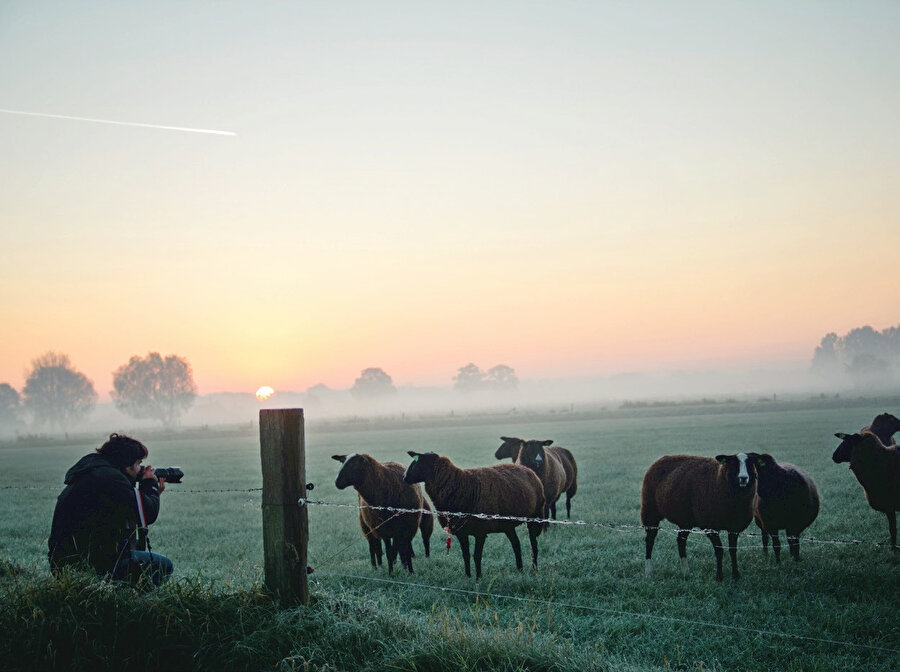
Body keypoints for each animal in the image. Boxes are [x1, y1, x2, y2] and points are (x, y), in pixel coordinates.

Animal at [404, 452, 544, 576]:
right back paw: (520, 569)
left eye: (420, 462)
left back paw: (535, 569)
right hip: (507, 525)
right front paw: (468, 576)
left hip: (534, 516)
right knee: (516, 544)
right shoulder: (461, 531)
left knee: (533, 546)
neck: (462, 485)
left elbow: (477, 556)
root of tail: (528, 470)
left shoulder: (480, 532)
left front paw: (478, 578)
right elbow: (465, 555)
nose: (404, 477)